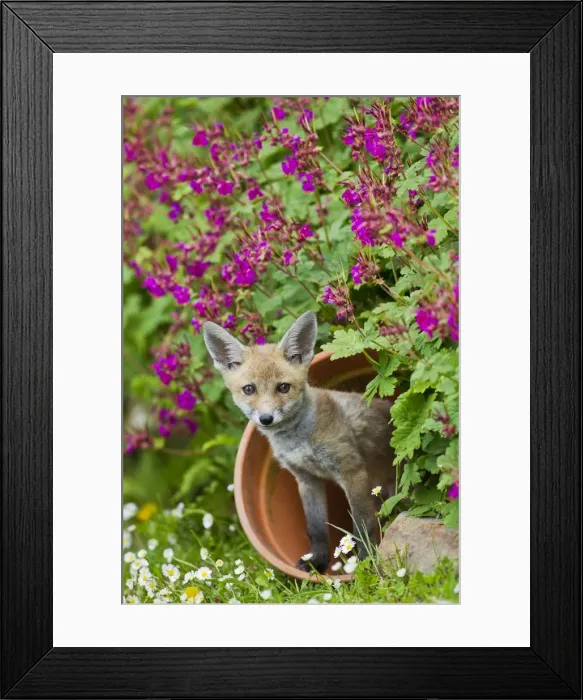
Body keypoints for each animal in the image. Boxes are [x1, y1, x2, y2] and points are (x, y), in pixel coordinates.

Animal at [202, 311, 396, 574]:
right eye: (249, 389)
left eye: (283, 387)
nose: (266, 418)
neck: (299, 442)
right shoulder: (306, 479)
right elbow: (316, 529)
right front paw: (318, 562)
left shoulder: (352, 470)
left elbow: (363, 525)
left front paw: (366, 564)